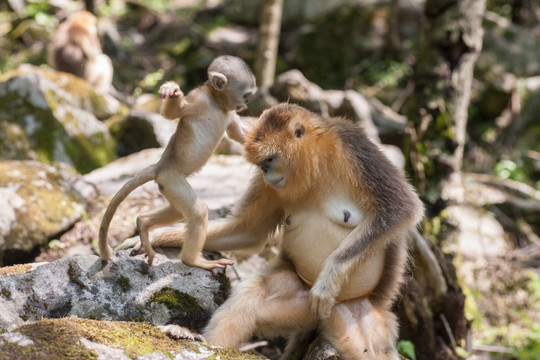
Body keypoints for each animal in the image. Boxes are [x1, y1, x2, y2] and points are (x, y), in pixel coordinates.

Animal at [99, 54, 258, 272]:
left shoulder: (230, 112)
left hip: (167, 185)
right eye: (245, 95)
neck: (217, 103)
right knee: (198, 212)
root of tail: (161, 165)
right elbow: (173, 114)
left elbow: (239, 135)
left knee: (177, 211)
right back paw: (193, 260)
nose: (247, 102)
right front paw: (172, 91)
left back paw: (144, 223)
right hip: (172, 180)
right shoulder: (199, 99)